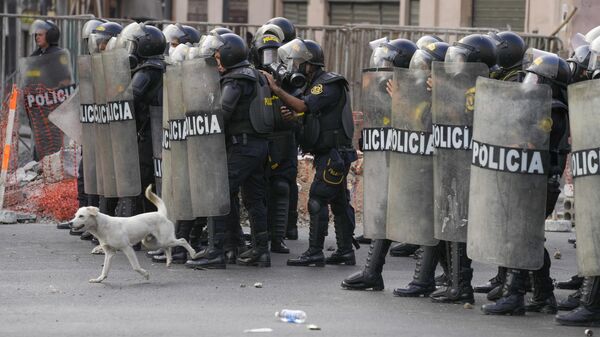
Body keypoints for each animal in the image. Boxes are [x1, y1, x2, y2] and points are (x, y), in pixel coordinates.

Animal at [69, 185, 198, 282]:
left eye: (81, 216)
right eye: (75, 215)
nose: (70, 223)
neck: (103, 227)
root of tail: (160, 213)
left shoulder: (127, 248)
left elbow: (135, 267)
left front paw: (145, 274)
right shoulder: (109, 253)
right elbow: (105, 269)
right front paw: (99, 279)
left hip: (165, 239)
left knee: (182, 240)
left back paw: (193, 253)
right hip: (152, 242)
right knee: (167, 248)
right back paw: (169, 261)